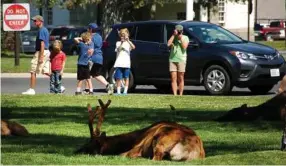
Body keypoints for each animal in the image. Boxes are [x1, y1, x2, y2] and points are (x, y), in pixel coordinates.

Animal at [76, 98, 206, 161]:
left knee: (155, 158)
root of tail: (192, 149)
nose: (76, 151)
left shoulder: (138, 146)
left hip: (161, 140)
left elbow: (122, 154)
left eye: (88, 145)